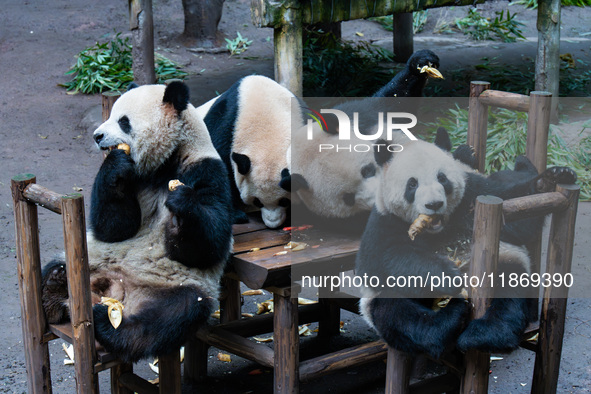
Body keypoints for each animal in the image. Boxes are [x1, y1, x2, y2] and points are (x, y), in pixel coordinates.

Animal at [41, 82, 234, 364]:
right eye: (111, 115)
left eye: (124, 121)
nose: (97, 136)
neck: (164, 164)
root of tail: (116, 292)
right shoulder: (134, 178)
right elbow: (113, 228)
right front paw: (114, 164)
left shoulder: (206, 170)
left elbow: (209, 245)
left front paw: (181, 207)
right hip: (89, 261)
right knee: (57, 263)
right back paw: (54, 285)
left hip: (174, 287)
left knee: (169, 317)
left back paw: (109, 326)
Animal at [356, 131, 580, 358]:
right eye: (412, 184)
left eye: (442, 178)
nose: (434, 204)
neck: (438, 229)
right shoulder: (384, 221)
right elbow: (385, 257)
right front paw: (447, 276)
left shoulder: (474, 193)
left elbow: (518, 215)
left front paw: (554, 178)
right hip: (380, 301)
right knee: (397, 312)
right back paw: (447, 322)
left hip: (507, 260)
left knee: (510, 290)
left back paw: (483, 335)